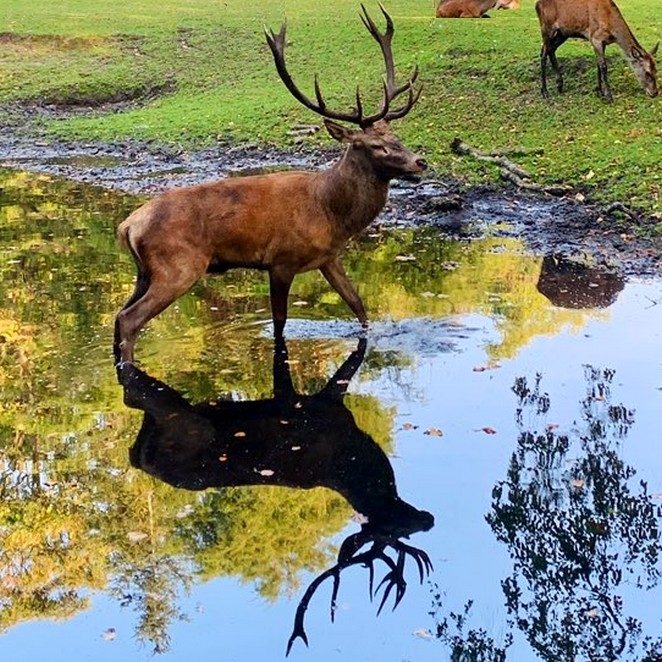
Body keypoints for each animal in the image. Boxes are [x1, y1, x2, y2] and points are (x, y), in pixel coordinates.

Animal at [113, 5, 426, 366]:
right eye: (376, 146)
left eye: (396, 137)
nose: (420, 161)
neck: (331, 212)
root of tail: (128, 225)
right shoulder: (281, 261)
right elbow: (279, 323)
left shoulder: (329, 258)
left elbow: (359, 307)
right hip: (177, 265)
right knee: (130, 319)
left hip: (144, 271)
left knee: (118, 316)